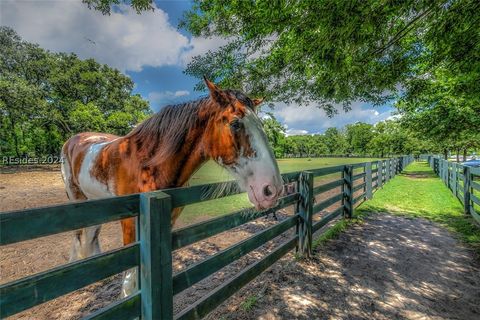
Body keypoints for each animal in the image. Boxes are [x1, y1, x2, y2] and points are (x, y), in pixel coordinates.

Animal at [61, 78, 284, 298]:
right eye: (235, 123)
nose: (272, 189)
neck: (148, 164)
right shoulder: (130, 223)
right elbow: (130, 281)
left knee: (91, 235)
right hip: (77, 199)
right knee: (79, 235)